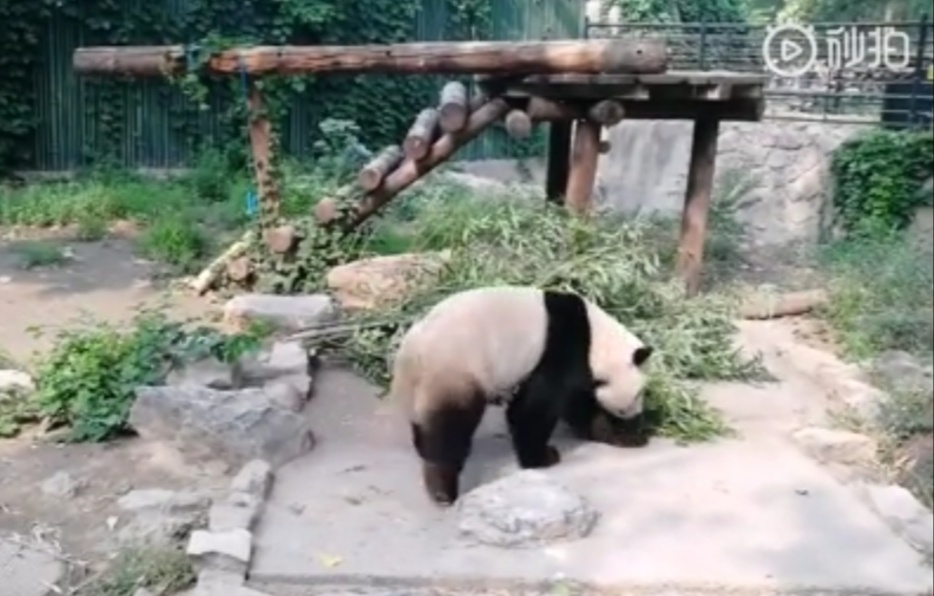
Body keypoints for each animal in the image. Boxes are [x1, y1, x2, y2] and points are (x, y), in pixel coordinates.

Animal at [392, 284, 656, 502]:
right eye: (638, 394)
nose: (636, 414)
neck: (596, 339)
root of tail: (412, 350)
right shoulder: (563, 348)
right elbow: (536, 408)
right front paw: (543, 457)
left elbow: (576, 404)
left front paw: (621, 435)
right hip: (456, 367)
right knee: (451, 426)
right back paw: (442, 488)